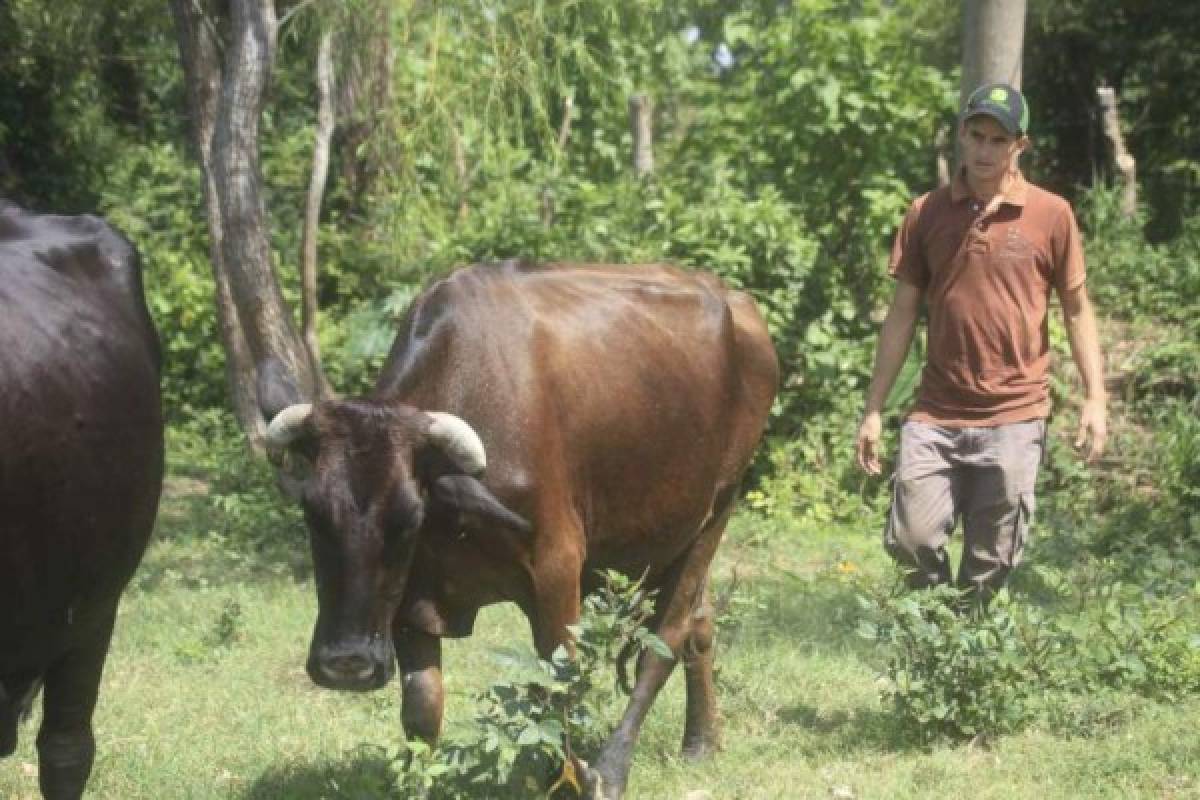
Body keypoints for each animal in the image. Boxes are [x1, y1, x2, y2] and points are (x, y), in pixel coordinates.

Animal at [266, 260, 772, 796]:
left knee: (664, 641)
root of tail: (734, 299)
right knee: (701, 623)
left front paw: (569, 777)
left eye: (408, 518)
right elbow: (422, 707)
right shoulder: (411, 599)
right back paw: (702, 741)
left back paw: (613, 767)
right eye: (313, 512)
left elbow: (557, 688)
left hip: (717, 509)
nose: (347, 663)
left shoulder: (556, 570)